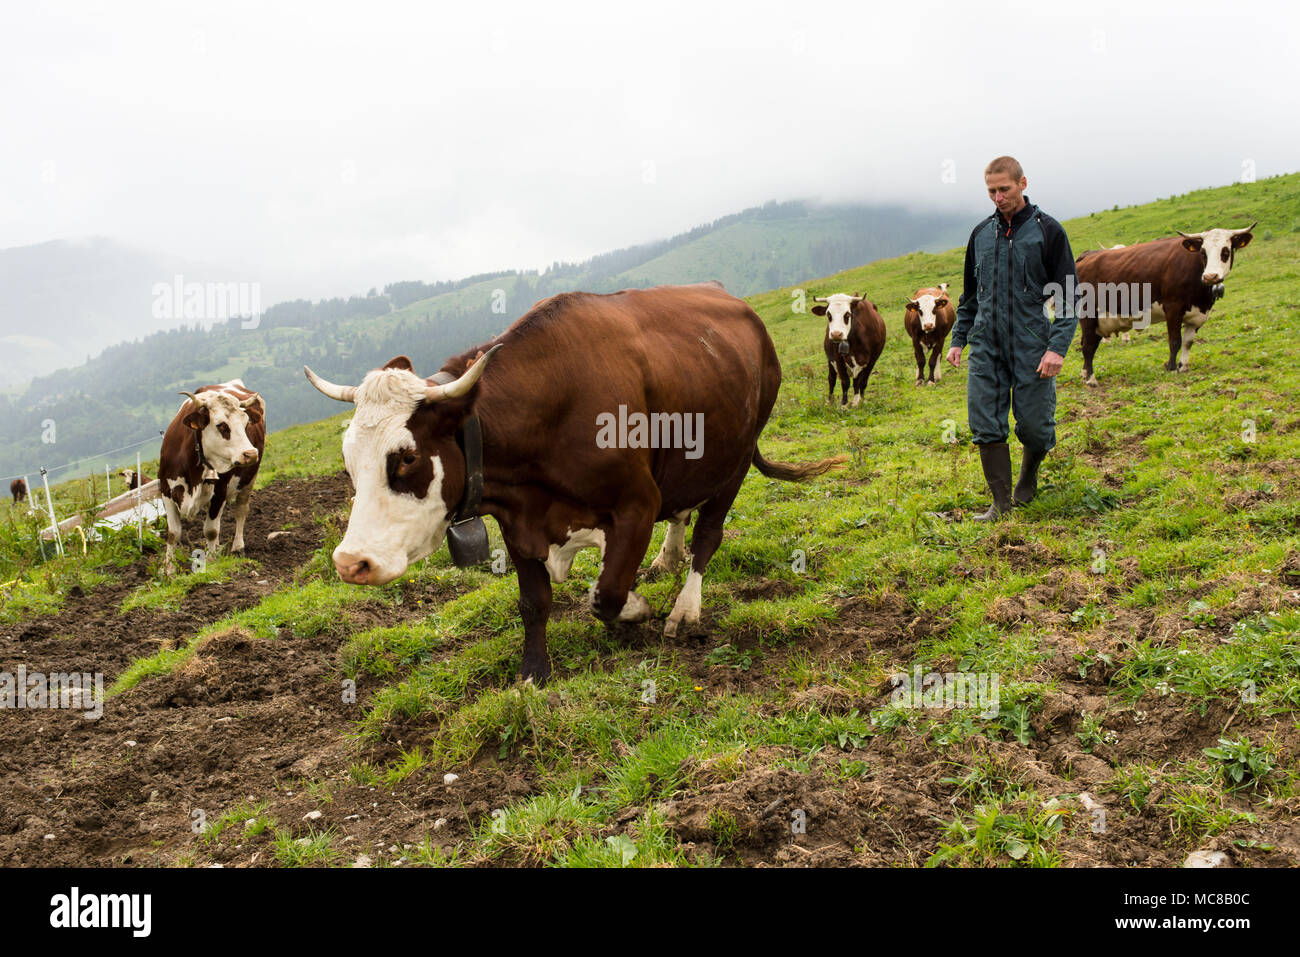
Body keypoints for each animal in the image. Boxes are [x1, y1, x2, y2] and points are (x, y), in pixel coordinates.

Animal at [157, 382, 263, 574]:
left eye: (246, 424)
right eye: (221, 425)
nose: (251, 454)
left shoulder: (219, 493)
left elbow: (211, 530)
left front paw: (211, 561)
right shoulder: (165, 491)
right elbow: (173, 533)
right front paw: (168, 569)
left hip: (248, 480)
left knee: (240, 510)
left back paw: (237, 547)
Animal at [309, 280, 847, 686]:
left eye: (407, 458)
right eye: (349, 462)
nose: (350, 563)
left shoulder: (636, 504)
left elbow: (605, 593)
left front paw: (637, 607)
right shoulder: (517, 521)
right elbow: (534, 602)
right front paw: (533, 672)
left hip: (735, 460)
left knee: (708, 535)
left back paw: (685, 608)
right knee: (682, 514)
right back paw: (667, 557)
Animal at [1071, 223, 1253, 384]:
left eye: (1225, 251)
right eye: (1203, 252)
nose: (1211, 276)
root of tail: (1087, 256)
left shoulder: (1197, 316)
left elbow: (1188, 342)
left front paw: (1184, 367)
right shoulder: (1173, 308)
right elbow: (1175, 341)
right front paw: (1172, 368)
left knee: (1087, 343)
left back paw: (1084, 373)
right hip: (1088, 315)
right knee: (1088, 346)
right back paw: (1091, 379)